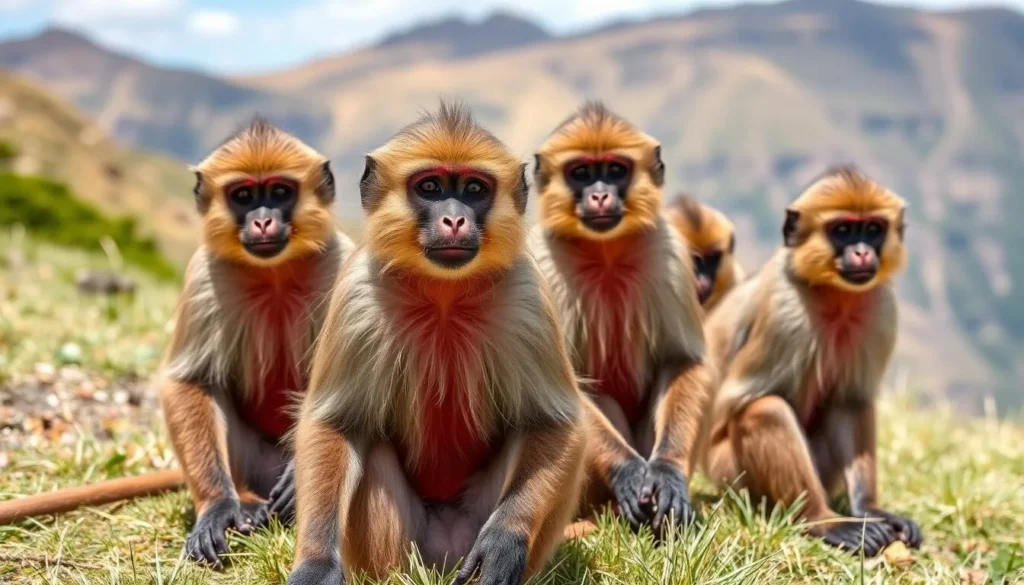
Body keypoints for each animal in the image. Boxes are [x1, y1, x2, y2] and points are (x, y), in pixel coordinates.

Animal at [158, 118, 354, 568]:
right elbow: (189, 382)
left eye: (279, 192)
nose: (263, 221)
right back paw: (248, 505)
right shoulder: (206, 273)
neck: (274, 276)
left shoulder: (339, 263)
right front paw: (217, 507)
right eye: (244, 196)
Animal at [287, 102, 586, 585]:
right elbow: (335, 425)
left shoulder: (527, 293)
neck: (444, 295)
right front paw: (315, 564)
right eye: (430, 187)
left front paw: (505, 539)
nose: (454, 219)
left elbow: (554, 423)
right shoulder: (357, 293)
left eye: (473, 189)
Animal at [530, 102, 716, 537]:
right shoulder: (543, 262)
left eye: (615, 170)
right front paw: (629, 473)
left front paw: (666, 474)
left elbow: (683, 360)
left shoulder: (666, 248)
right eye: (581, 172)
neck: (606, 255)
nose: (600, 195)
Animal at [702, 165, 922, 557]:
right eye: (843, 230)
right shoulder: (786, 309)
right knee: (765, 409)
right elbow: (745, 403)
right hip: (729, 472)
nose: (863, 252)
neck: (835, 297)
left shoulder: (879, 307)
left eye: (872, 229)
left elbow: (851, 402)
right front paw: (826, 523)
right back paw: (823, 518)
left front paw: (869, 509)